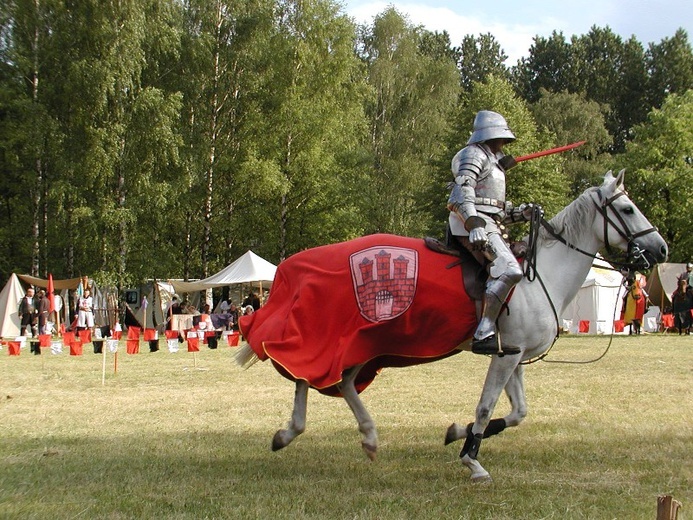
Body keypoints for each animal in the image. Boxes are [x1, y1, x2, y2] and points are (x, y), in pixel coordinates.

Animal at [237, 169, 664, 482]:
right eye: (627, 209)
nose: (660, 249)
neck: (537, 276)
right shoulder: (505, 357)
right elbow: (486, 407)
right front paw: (471, 460)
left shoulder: (512, 354)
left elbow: (517, 412)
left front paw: (458, 433)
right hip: (346, 334)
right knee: (307, 370)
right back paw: (294, 431)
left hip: (365, 342)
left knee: (338, 380)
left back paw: (361, 436)